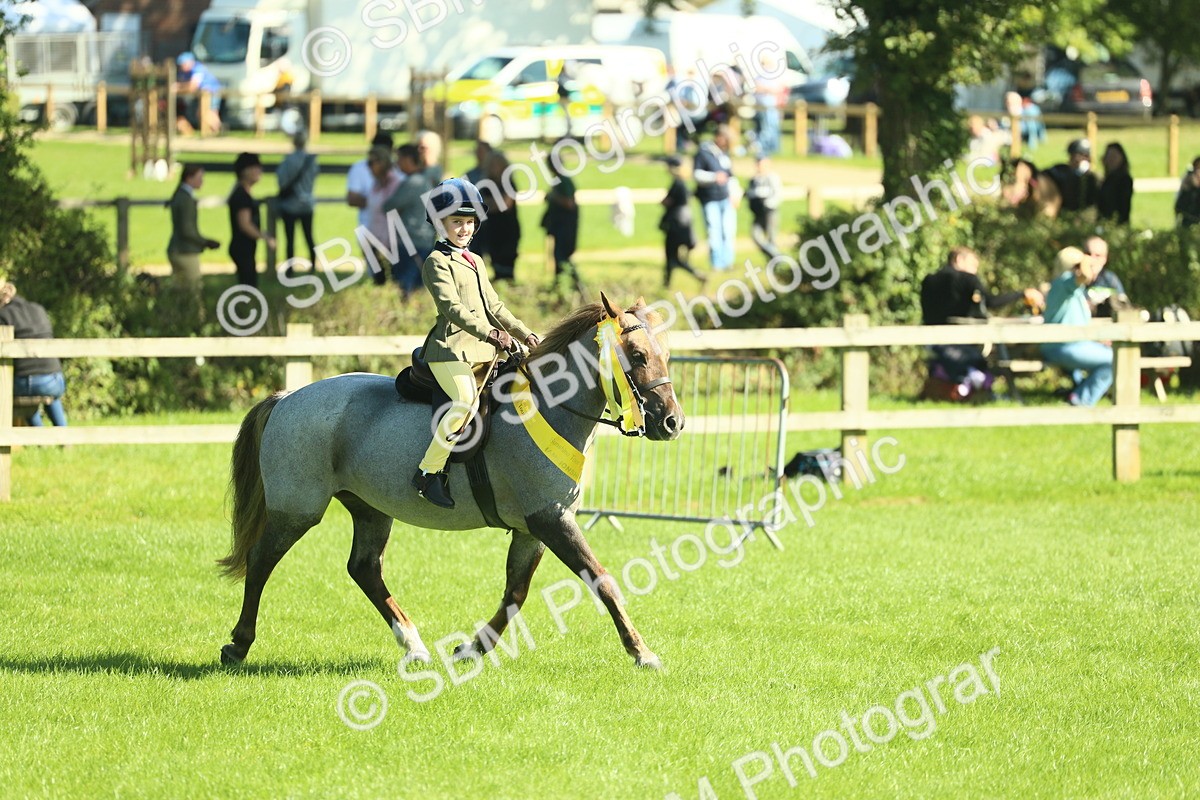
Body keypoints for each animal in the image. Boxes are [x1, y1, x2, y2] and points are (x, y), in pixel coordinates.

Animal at [217, 294, 684, 670]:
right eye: (637, 355)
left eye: (666, 354)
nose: (672, 423)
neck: (549, 408)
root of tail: (286, 399)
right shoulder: (551, 520)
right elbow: (603, 581)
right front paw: (642, 652)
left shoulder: (534, 528)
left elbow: (515, 594)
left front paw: (471, 649)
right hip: (296, 510)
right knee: (261, 562)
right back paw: (238, 645)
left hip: (370, 509)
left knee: (364, 568)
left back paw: (414, 646)